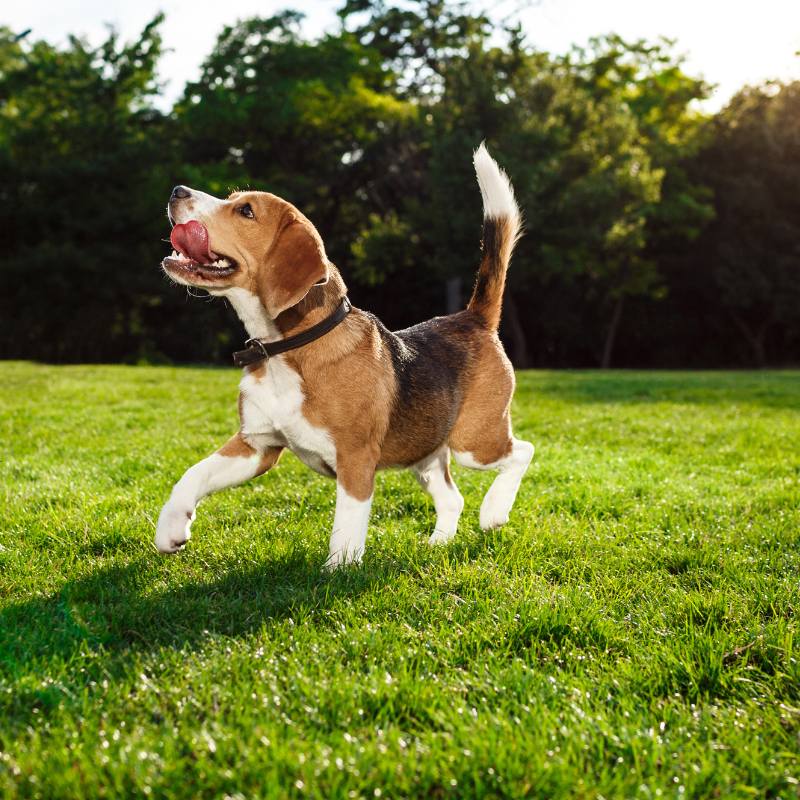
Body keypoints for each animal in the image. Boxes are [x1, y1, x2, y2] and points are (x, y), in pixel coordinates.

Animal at [155, 145, 532, 568]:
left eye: (246, 211)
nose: (176, 190)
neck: (287, 350)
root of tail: (471, 318)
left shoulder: (355, 459)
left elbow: (346, 527)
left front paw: (338, 571)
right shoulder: (257, 445)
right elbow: (193, 474)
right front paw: (171, 528)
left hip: (475, 442)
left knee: (523, 453)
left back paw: (495, 511)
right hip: (425, 453)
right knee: (452, 498)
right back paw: (438, 543)